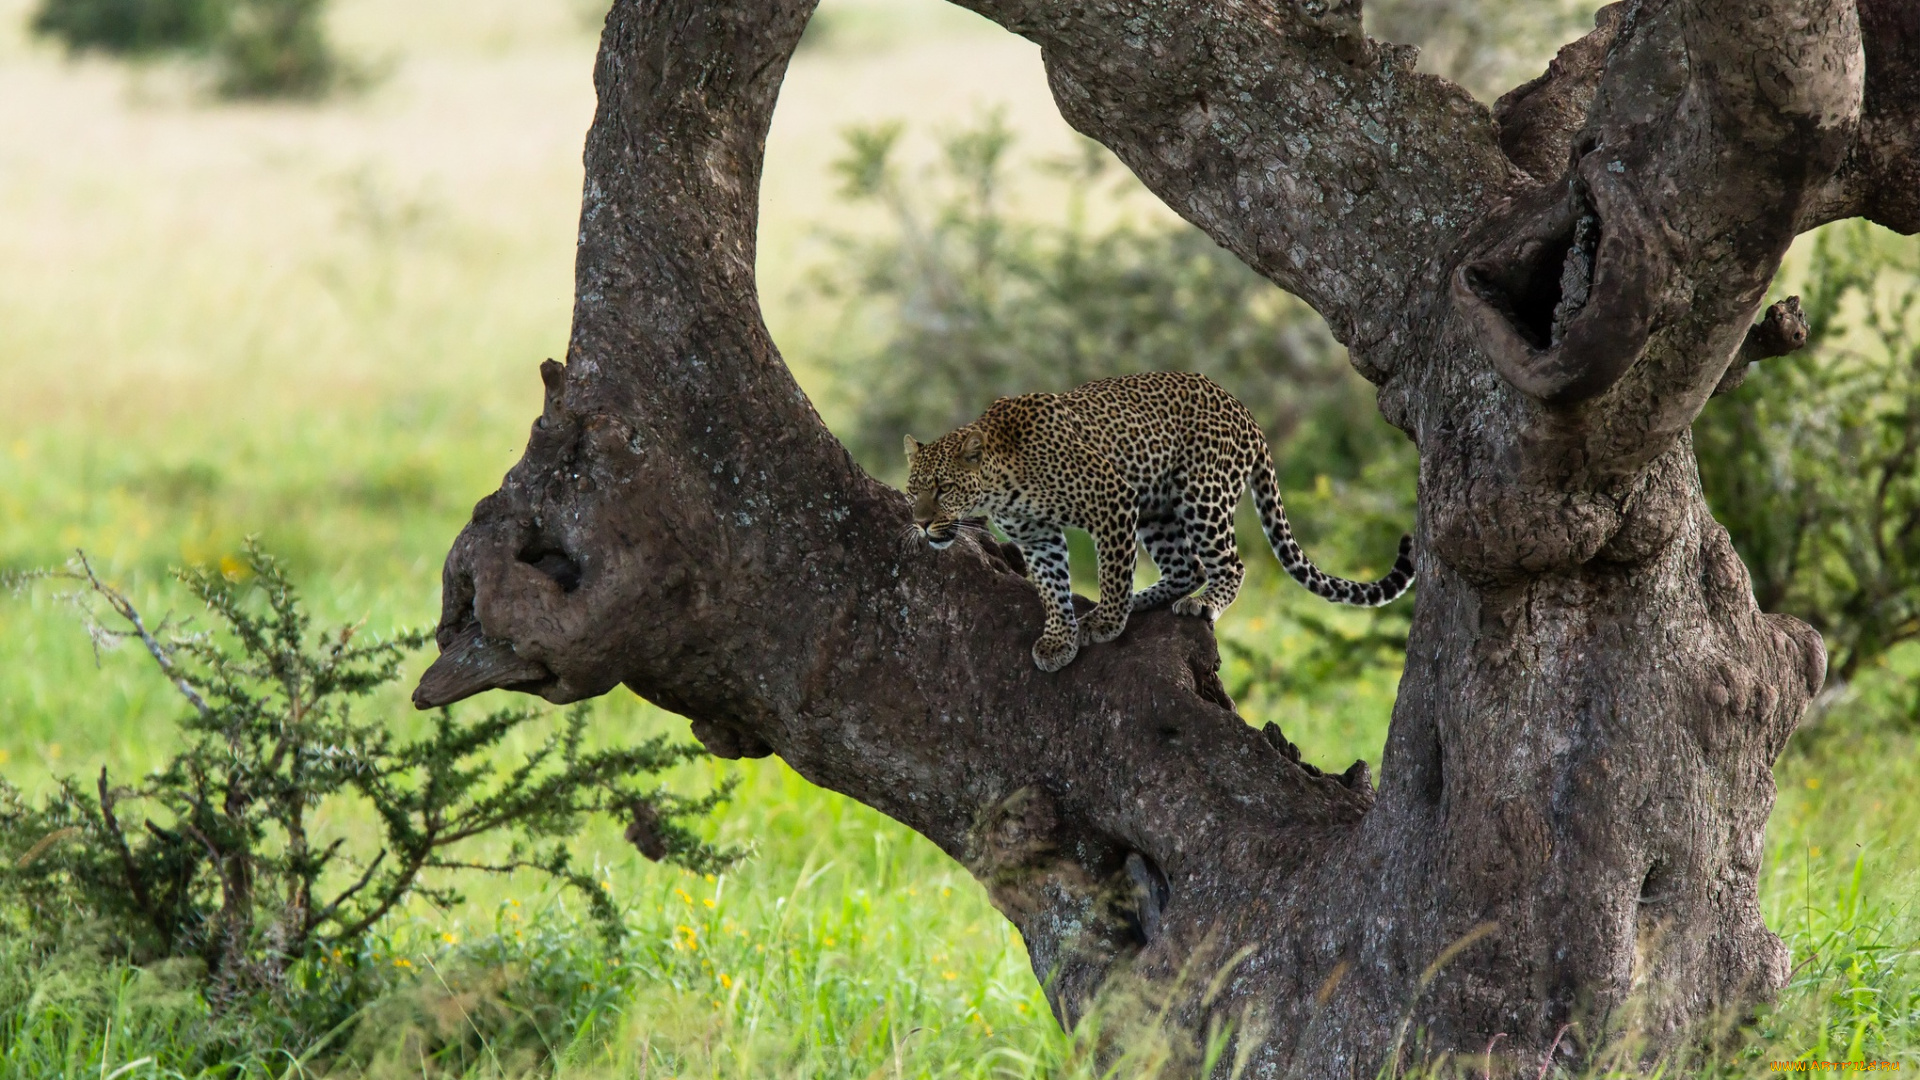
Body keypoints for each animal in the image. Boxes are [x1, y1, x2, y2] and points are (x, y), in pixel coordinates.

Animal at [898, 374, 1413, 668]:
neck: (1001, 483)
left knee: (1228, 564)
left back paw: (1199, 604)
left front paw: (1107, 622)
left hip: (1201, 494)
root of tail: (1244, 410)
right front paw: (1060, 639)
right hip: (1157, 508)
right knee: (1187, 567)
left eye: (943, 488)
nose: (921, 523)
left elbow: (1111, 570)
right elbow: (1050, 587)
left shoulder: (1111, 501)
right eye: (912, 489)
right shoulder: (1038, 537)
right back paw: (1141, 600)